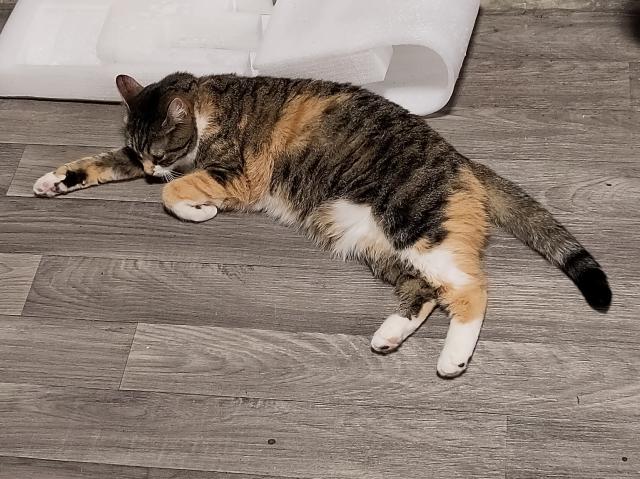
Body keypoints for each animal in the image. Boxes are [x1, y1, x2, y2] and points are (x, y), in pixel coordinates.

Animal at [32, 72, 612, 378]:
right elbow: (102, 162)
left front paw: (199, 210)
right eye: (141, 151)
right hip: (373, 245)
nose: (151, 169)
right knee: (425, 293)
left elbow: (175, 195)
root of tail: (465, 161)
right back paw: (389, 337)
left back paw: (452, 359)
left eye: (160, 149)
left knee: (472, 289)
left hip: (415, 227)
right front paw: (54, 180)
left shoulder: (235, 174)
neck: (205, 104)